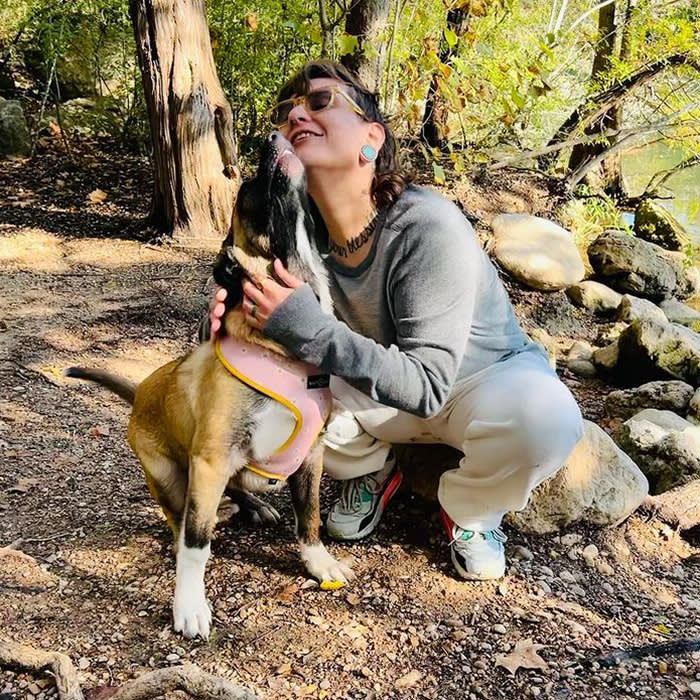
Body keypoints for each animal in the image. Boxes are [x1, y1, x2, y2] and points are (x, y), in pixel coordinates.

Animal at [67, 131, 350, 640]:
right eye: (247, 190)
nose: (275, 134)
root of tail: (138, 394)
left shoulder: (311, 456)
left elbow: (310, 514)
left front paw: (317, 561)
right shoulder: (211, 459)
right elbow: (196, 546)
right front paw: (189, 604)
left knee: (237, 491)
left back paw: (253, 504)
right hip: (169, 475)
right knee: (180, 521)